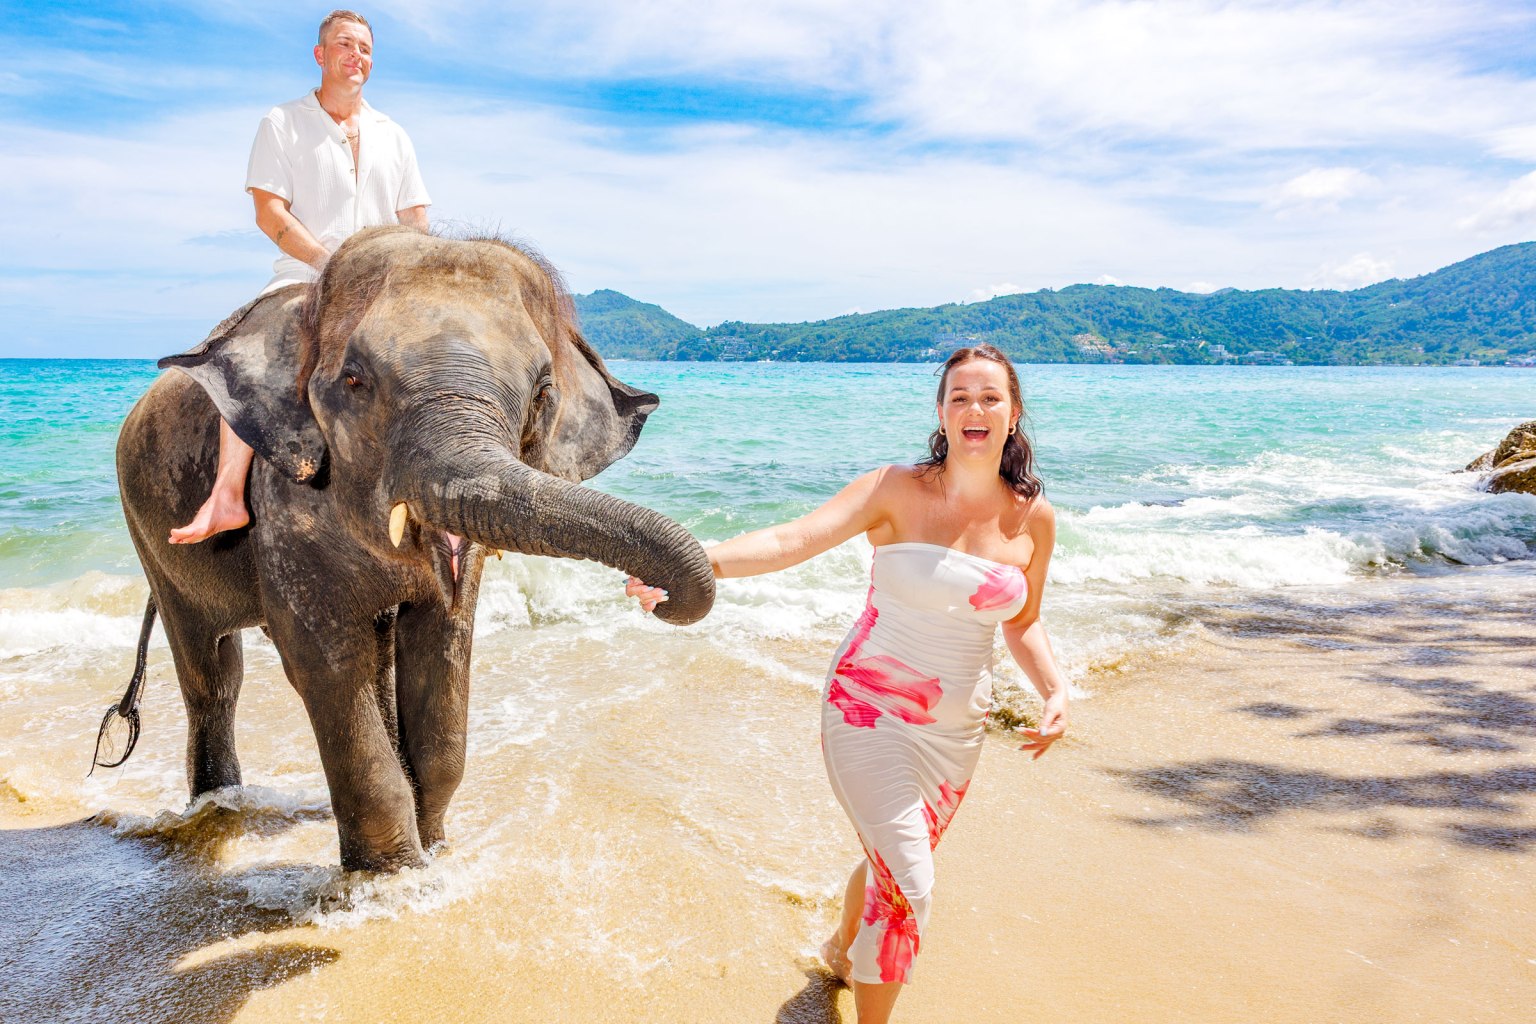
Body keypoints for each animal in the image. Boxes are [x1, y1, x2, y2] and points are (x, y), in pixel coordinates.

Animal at [104, 226, 715, 871]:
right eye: (354, 380)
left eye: (544, 390)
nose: (655, 596)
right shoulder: (283, 505)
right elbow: (325, 660)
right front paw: (393, 874)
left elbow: (442, 650)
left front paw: (435, 850)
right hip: (147, 527)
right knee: (214, 673)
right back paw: (217, 807)